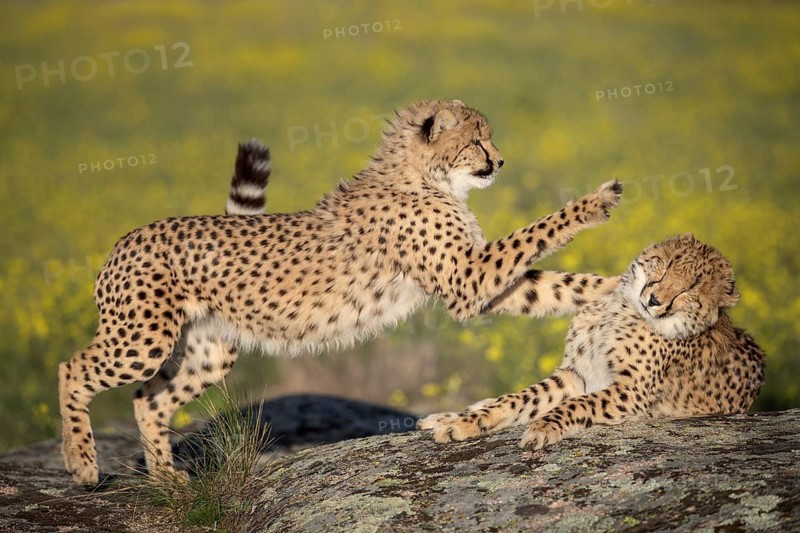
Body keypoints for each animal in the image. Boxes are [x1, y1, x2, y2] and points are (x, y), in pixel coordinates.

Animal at [59, 99, 624, 486]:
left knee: (148, 399)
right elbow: (537, 232)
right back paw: (81, 463)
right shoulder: (466, 279)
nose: (501, 162)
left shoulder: (474, 281)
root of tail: (122, 241)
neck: (425, 177)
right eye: (477, 141)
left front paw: (620, 289)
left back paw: (166, 478)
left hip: (208, 351)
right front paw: (593, 204)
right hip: (143, 337)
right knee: (73, 369)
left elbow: (555, 284)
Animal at [419, 233, 765, 449]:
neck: (625, 307)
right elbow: (519, 400)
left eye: (690, 290)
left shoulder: (631, 392)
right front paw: (466, 422)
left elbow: (579, 403)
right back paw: (445, 416)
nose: (654, 299)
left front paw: (544, 426)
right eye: (667, 266)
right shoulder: (576, 373)